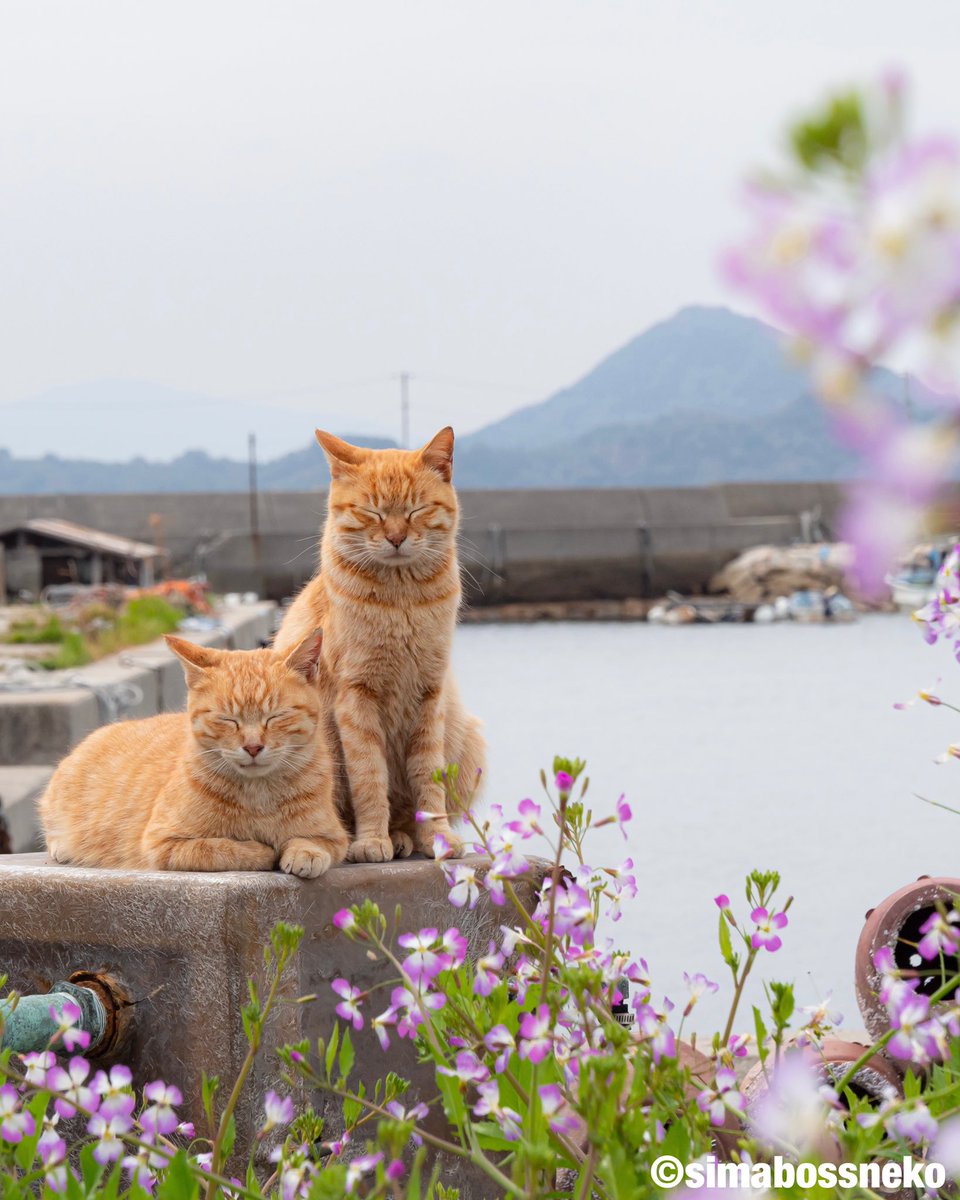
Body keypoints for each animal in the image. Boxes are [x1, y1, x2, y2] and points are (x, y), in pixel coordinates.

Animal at [42, 633, 348, 878]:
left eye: (276, 717)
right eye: (227, 720)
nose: (253, 747)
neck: (259, 795)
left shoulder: (335, 836)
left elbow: (313, 843)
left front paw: (305, 853)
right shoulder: (163, 844)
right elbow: (223, 849)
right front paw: (261, 851)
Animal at [272, 429, 484, 864]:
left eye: (417, 509)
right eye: (373, 513)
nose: (396, 537)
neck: (401, 601)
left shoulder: (430, 695)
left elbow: (428, 777)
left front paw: (437, 837)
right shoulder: (356, 698)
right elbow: (369, 778)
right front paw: (371, 840)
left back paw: (404, 836)